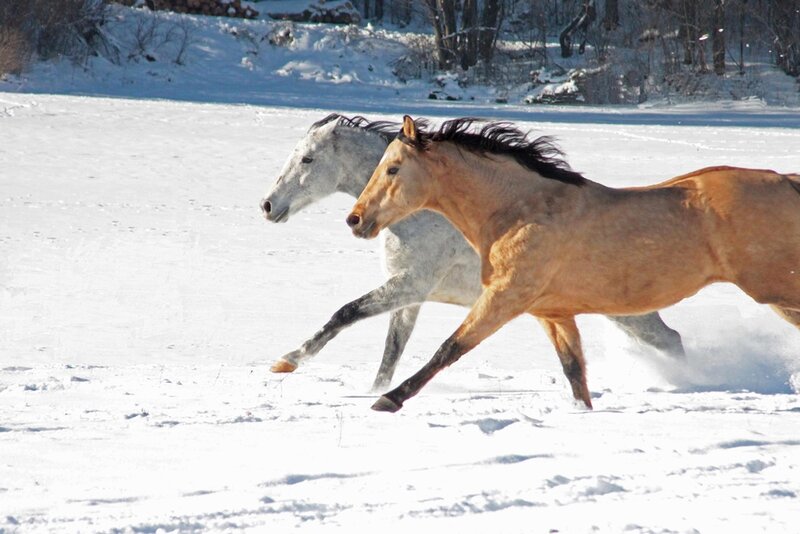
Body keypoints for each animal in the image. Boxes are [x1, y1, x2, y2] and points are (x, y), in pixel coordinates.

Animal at [260, 114, 685, 390]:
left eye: (307, 159)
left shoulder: (411, 284)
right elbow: (391, 352)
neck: (421, 212)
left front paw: (287, 361)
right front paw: (375, 393)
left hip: (630, 313)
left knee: (672, 340)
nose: (267, 205)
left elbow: (345, 313)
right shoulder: (409, 296)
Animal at [346, 116, 800, 412]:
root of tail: (787, 180)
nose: (355, 220)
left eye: (393, 168)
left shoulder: (504, 299)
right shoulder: (553, 314)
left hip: (775, 290)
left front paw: (387, 399)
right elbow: (574, 374)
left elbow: (449, 348)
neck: (518, 211)